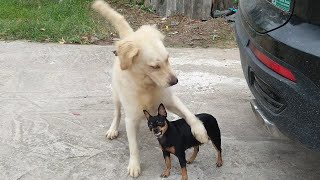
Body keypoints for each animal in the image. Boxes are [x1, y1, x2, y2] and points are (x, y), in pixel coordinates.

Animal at [91, 0, 209, 177]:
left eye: (168, 59)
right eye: (154, 66)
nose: (175, 81)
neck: (147, 86)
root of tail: (130, 36)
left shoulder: (170, 100)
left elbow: (189, 114)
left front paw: (200, 131)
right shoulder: (131, 118)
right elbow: (133, 146)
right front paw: (134, 165)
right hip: (116, 96)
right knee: (117, 113)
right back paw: (113, 129)